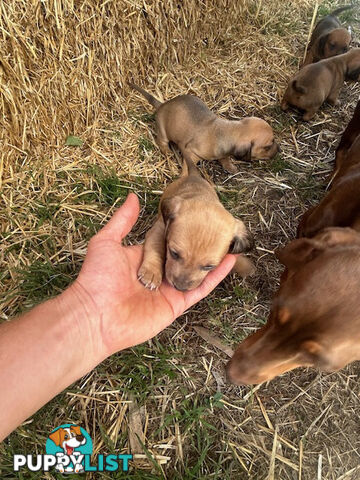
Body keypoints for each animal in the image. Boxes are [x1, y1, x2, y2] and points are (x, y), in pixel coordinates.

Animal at [129, 83, 278, 173]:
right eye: (267, 146)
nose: (280, 149)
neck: (227, 131)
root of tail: (161, 105)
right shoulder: (190, 152)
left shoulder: (223, 153)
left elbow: (225, 158)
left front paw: (230, 167)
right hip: (163, 131)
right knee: (161, 142)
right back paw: (167, 151)